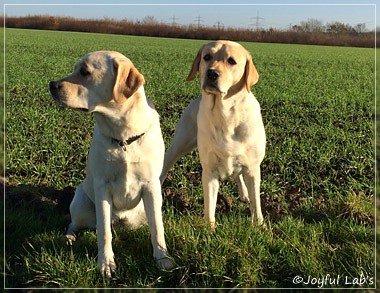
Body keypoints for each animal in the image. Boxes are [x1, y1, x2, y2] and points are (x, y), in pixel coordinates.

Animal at [49, 51, 175, 278]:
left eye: (85, 72)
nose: (52, 85)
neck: (123, 136)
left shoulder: (151, 186)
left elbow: (157, 228)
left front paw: (162, 258)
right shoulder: (102, 187)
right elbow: (104, 231)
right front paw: (106, 263)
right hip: (81, 203)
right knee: (75, 224)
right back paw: (69, 239)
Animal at [162, 40, 266, 228]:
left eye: (231, 61)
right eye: (207, 57)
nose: (211, 73)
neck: (225, 115)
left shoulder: (253, 168)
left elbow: (256, 201)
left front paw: (259, 224)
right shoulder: (209, 170)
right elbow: (210, 204)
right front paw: (209, 228)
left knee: (239, 177)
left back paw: (244, 195)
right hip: (179, 144)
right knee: (165, 164)